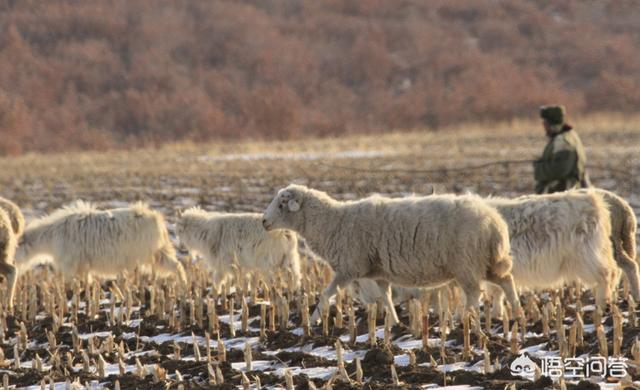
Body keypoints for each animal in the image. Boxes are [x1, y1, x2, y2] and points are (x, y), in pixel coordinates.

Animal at [13, 201, 186, 284]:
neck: (52, 235)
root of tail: (158, 219)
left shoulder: (71, 264)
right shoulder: (83, 265)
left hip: (146, 254)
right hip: (159, 252)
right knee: (176, 265)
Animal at [262, 184, 516, 324]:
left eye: (282, 204)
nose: (264, 221)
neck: (333, 222)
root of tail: (494, 222)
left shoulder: (349, 268)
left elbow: (326, 295)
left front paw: (310, 323)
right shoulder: (378, 273)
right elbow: (385, 296)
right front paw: (394, 323)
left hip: (467, 262)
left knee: (474, 293)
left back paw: (460, 320)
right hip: (485, 261)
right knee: (507, 280)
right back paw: (516, 312)